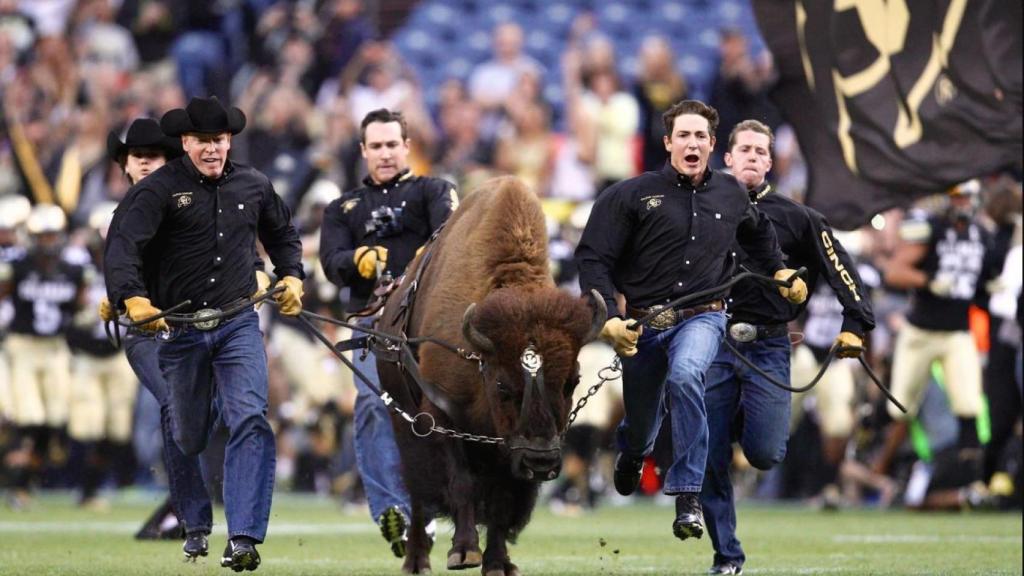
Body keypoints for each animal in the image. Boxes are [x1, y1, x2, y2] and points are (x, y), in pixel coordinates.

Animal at [376, 177, 602, 569]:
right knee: (418, 493)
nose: (541, 462)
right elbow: (462, 483)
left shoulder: (509, 451)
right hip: (404, 421)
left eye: (572, 382)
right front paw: (464, 552)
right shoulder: (442, 418)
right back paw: (416, 560)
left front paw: (497, 563)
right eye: (502, 385)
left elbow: (502, 501)